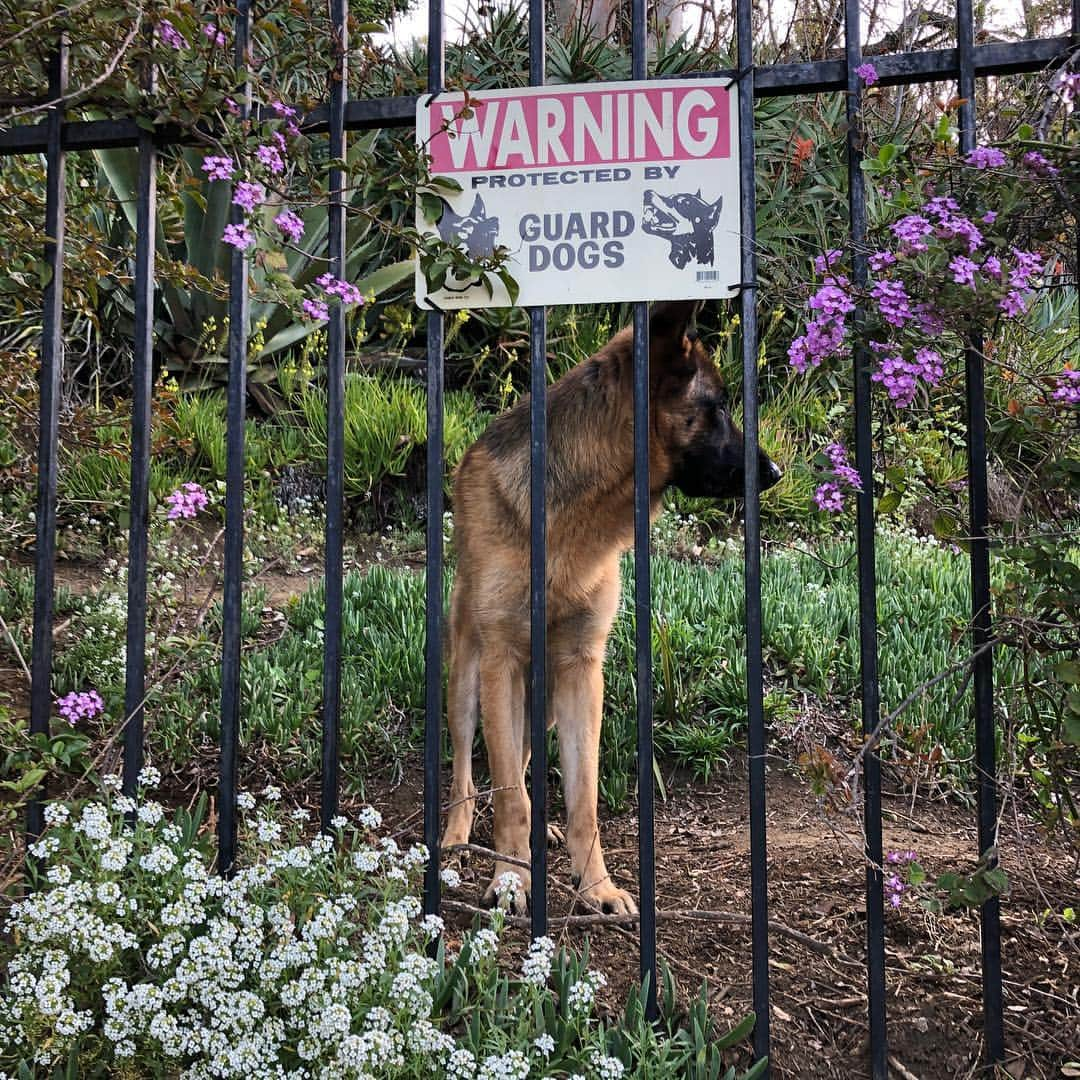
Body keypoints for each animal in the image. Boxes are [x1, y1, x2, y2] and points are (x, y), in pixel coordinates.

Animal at [442, 300, 781, 915]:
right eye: (718, 406)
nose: (775, 473)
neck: (568, 526)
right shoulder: (501, 663)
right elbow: (507, 796)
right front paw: (510, 882)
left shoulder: (582, 671)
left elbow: (582, 801)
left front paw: (595, 887)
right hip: (468, 680)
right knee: (468, 774)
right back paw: (457, 836)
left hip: (545, 698)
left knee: (519, 764)